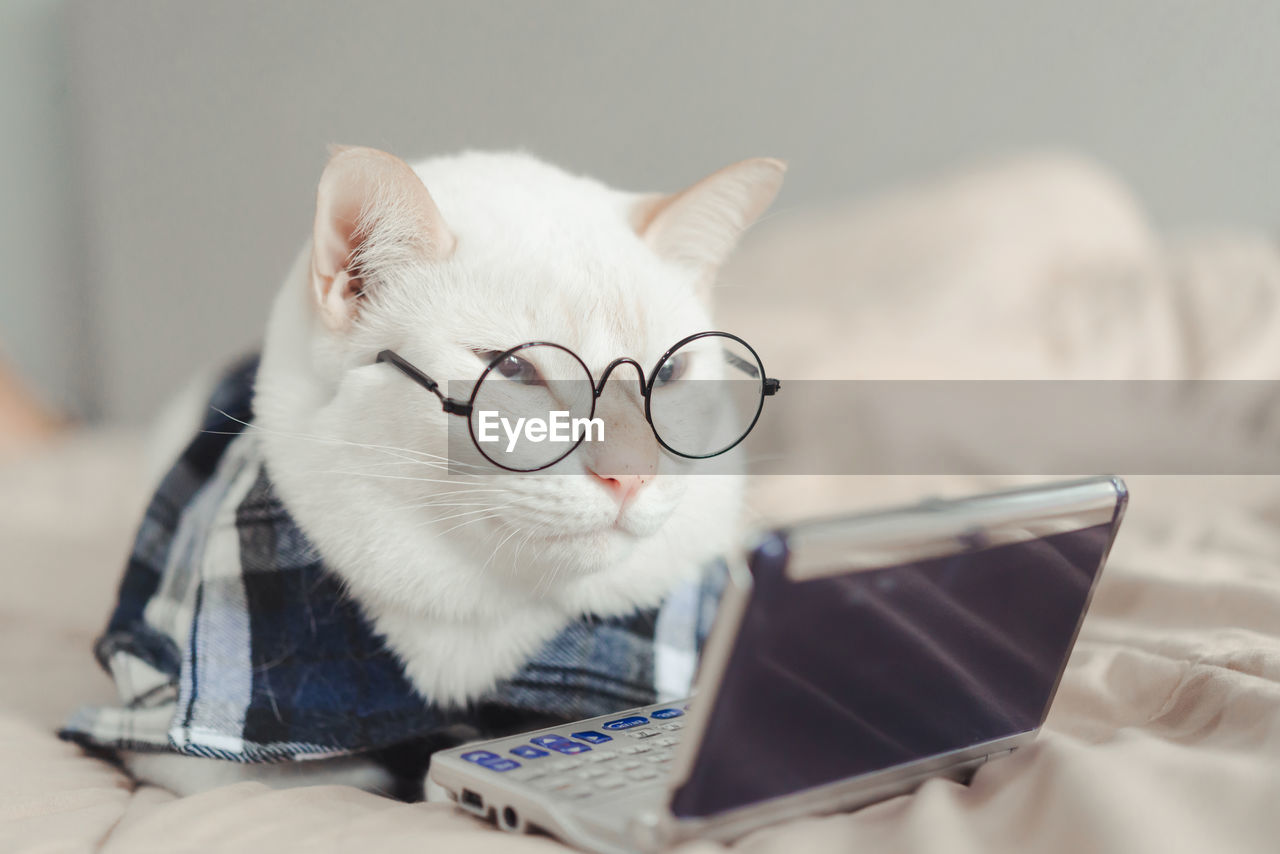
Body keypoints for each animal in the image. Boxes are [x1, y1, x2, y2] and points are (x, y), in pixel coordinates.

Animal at [122, 145, 778, 793]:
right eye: (514, 369)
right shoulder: (168, 719)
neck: (475, 618)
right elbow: (284, 779)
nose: (632, 472)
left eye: (668, 375)